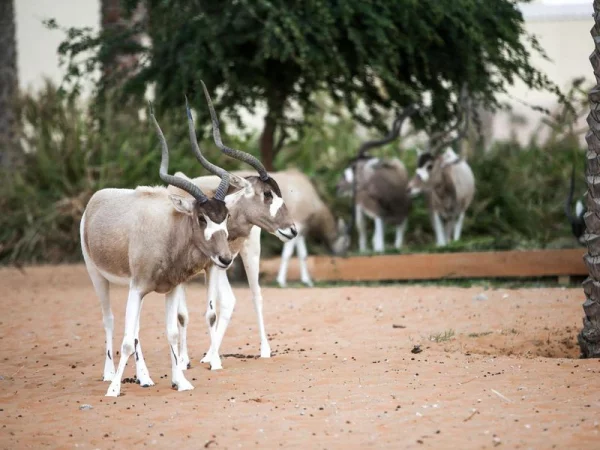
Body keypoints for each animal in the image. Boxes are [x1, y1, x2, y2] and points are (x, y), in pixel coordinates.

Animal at [81, 103, 234, 398]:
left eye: (226, 216)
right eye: (201, 218)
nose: (225, 258)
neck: (168, 231)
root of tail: (95, 199)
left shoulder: (169, 289)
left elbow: (170, 332)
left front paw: (180, 382)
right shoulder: (138, 287)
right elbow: (126, 340)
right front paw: (115, 389)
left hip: (131, 288)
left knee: (136, 329)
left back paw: (144, 377)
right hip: (98, 276)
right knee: (110, 320)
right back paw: (109, 375)